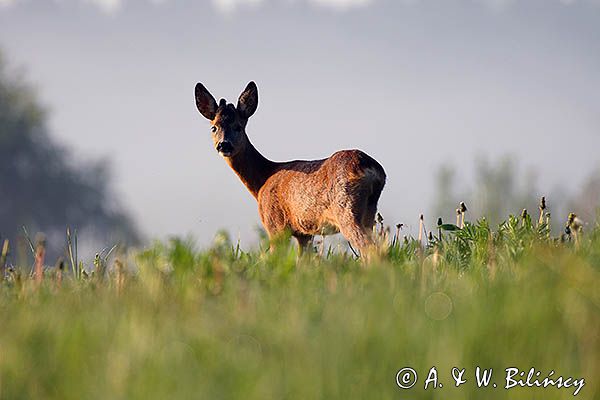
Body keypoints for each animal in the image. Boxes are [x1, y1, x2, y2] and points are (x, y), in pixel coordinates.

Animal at [195, 81, 386, 255]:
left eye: (238, 127)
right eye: (214, 127)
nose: (224, 145)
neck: (262, 180)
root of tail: (371, 168)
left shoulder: (275, 224)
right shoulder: (304, 233)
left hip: (346, 208)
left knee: (370, 248)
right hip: (369, 213)